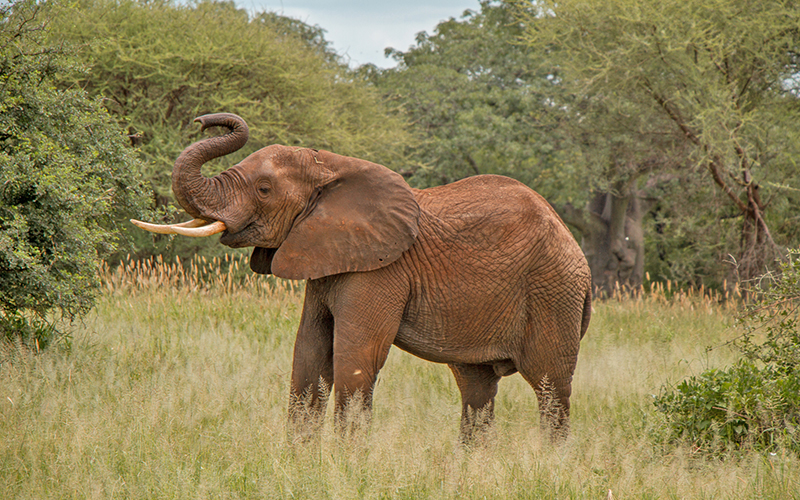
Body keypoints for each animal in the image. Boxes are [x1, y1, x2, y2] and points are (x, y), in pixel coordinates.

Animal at [133, 112, 592, 442]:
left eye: (264, 189)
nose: (203, 120)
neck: (331, 168)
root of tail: (572, 241)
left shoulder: (381, 270)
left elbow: (356, 359)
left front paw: (347, 464)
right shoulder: (323, 258)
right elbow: (308, 354)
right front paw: (300, 460)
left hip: (553, 291)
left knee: (550, 387)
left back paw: (549, 463)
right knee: (476, 388)